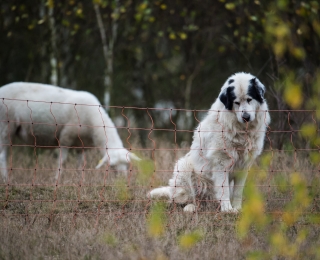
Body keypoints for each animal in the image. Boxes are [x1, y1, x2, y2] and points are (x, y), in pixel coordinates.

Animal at [0, 82, 140, 181]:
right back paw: (6, 179)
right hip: (6, 125)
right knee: (3, 156)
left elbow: (81, 165)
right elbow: (62, 161)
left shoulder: (82, 146)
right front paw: (57, 180)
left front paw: (79, 180)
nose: (122, 181)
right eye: (112, 167)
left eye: (127, 165)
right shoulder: (65, 137)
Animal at [148, 72, 270, 212]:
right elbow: (224, 190)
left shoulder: (244, 165)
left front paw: (238, 209)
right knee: (183, 200)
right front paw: (228, 210)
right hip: (184, 167)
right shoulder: (221, 162)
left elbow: (238, 191)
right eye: (236, 102)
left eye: (250, 99)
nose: (246, 117)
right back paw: (190, 207)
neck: (241, 130)